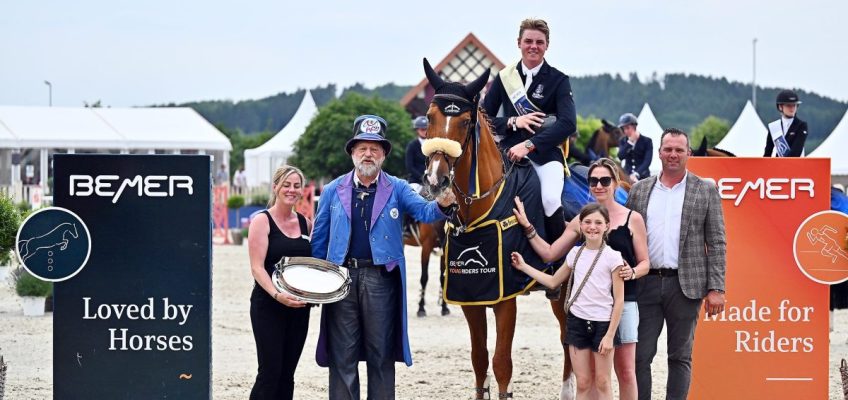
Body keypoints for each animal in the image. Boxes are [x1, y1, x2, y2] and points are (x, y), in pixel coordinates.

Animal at [420, 59, 568, 400]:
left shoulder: (505, 298)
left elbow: (502, 363)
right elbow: (479, 359)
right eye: (431, 117)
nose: (436, 181)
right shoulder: (470, 299)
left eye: (464, 122)